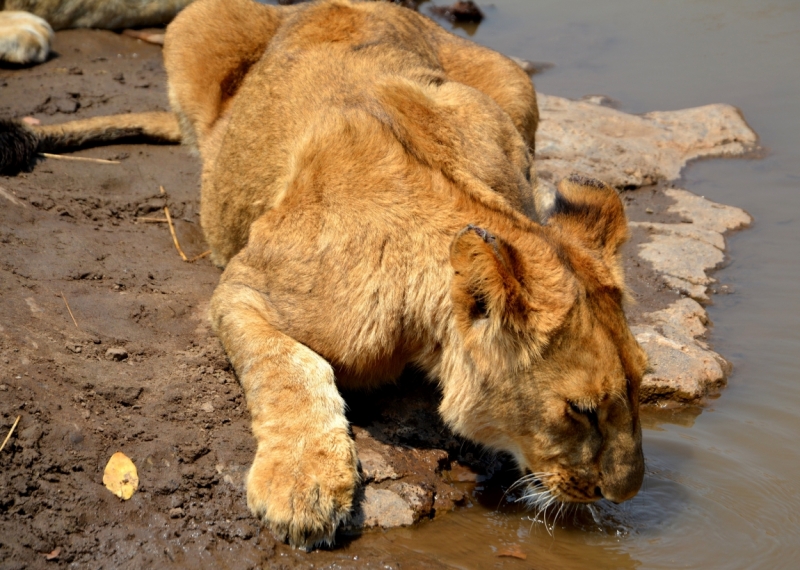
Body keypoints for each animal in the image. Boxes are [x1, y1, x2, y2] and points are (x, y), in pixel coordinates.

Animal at [0, 0, 648, 548]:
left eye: (641, 385)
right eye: (582, 410)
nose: (628, 493)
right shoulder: (242, 285)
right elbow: (289, 363)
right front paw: (303, 484)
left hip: (513, 77)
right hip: (194, 23)